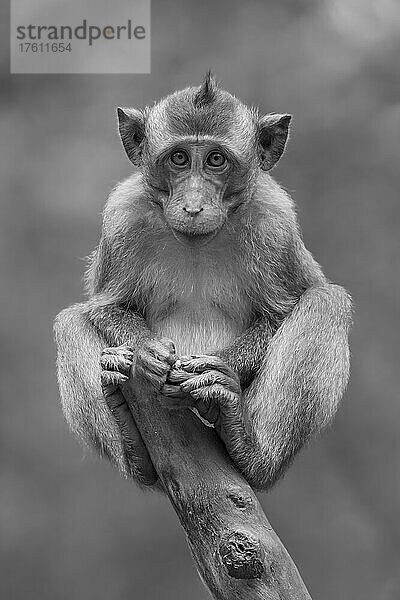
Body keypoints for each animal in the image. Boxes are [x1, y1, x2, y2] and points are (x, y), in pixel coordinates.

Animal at [54, 71, 352, 492]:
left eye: (216, 160)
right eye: (179, 158)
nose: (193, 205)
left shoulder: (275, 223)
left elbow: (283, 310)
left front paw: (213, 369)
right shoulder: (122, 217)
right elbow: (107, 307)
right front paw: (147, 353)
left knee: (326, 303)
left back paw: (248, 446)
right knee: (70, 321)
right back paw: (133, 446)